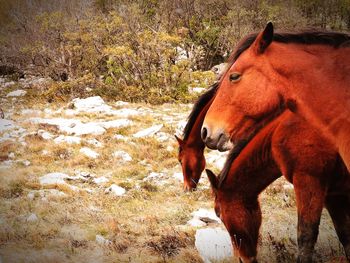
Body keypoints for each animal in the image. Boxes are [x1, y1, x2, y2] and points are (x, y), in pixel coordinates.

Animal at [205, 110, 350, 262]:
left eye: (219, 214)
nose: (241, 258)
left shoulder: (308, 183)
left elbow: (306, 237)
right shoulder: (333, 195)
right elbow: (345, 235)